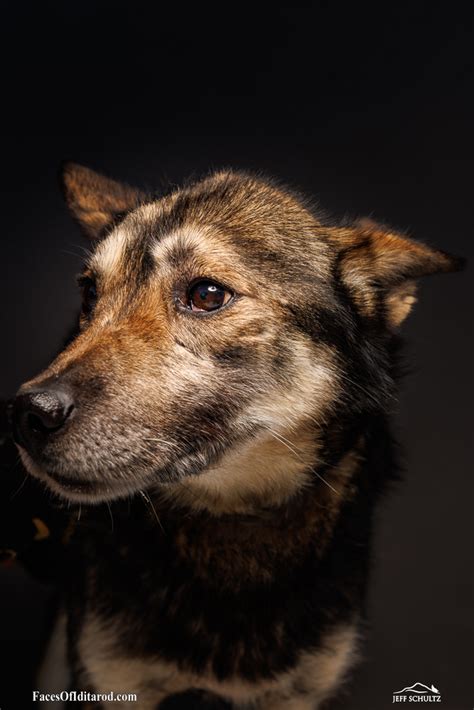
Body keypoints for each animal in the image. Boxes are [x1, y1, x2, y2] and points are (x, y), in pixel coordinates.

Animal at [11, 164, 462, 708]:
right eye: (89, 294)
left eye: (207, 295)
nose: (28, 414)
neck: (233, 528)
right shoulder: (112, 676)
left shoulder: (301, 691)